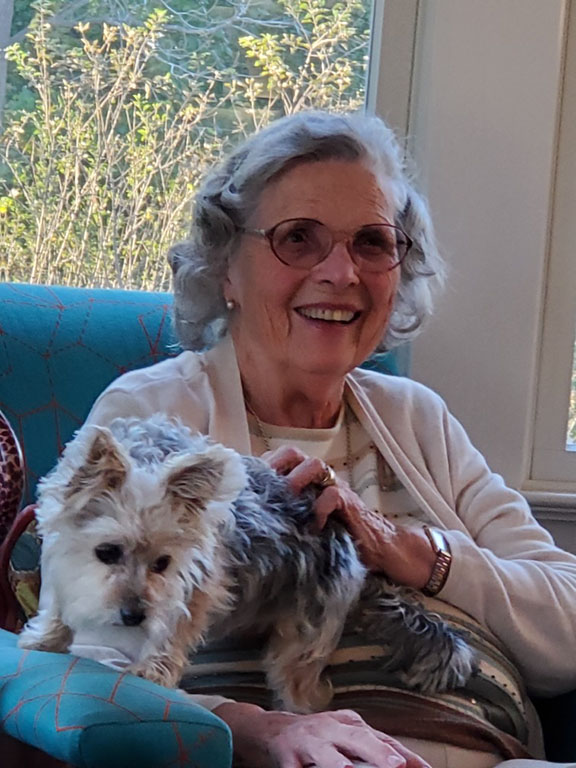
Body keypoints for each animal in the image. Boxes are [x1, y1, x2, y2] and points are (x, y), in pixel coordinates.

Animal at [19, 415, 476, 712]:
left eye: (163, 563)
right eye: (107, 552)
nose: (134, 616)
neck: (148, 460)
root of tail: (350, 546)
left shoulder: (195, 581)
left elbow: (176, 625)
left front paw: (154, 669)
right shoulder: (61, 549)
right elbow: (58, 598)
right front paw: (46, 637)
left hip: (301, 643)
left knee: (302, 691)